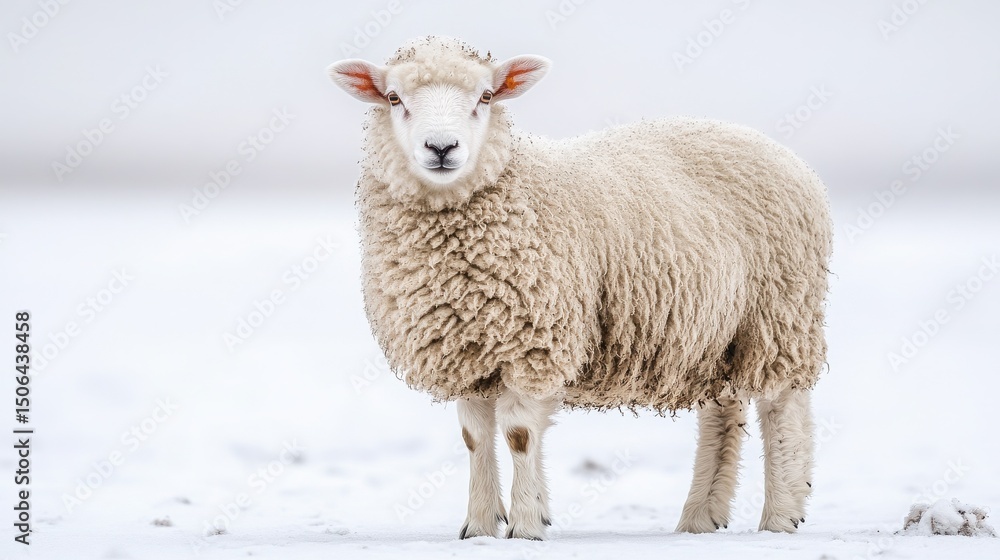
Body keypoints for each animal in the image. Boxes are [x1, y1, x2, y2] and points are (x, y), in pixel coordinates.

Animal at [327, 36, 832, 540]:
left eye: (485, 97)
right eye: (394, 98)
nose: (441, 147)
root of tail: (774, 148)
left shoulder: (535, 343)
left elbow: (519, 435)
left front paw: (526, 526)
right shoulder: (467, 351)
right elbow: (474, 437)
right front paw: (480, 527)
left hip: (780, 314)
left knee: (782, 409)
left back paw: (779, 517)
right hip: (714, 334)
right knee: (722, 416)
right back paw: (700, 517)